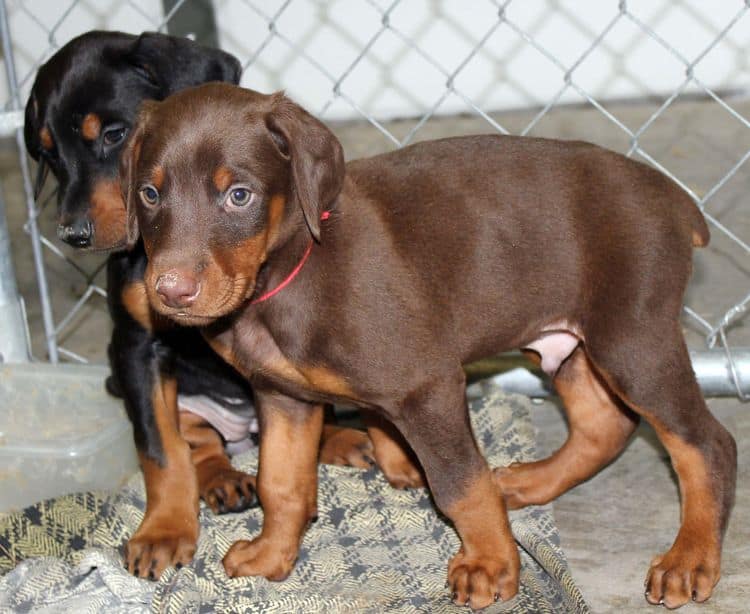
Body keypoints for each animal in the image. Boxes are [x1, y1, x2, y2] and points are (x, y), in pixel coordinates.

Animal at [24, 33, 382, 584]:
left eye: (114, 134)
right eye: (47, 153)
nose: (73, 234)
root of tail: (242, 434)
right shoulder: (136, 348)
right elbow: (160, 448)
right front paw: (164, 532)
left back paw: (342, 439)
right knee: (201, 443)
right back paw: (224, 480)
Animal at [123, 83, 740, 612]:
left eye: (239, 195)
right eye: (149, 193)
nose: (169, 291)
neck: (287, 275)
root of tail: (673, 198)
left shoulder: (427, 387)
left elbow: (457, 484)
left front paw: (491, 565)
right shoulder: (282, 396)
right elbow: (281, 482)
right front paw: (272, 555)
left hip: (631, 339)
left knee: (706, 443)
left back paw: (689, 558)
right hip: (569, 340)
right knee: (603, 424)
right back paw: (529, 483)